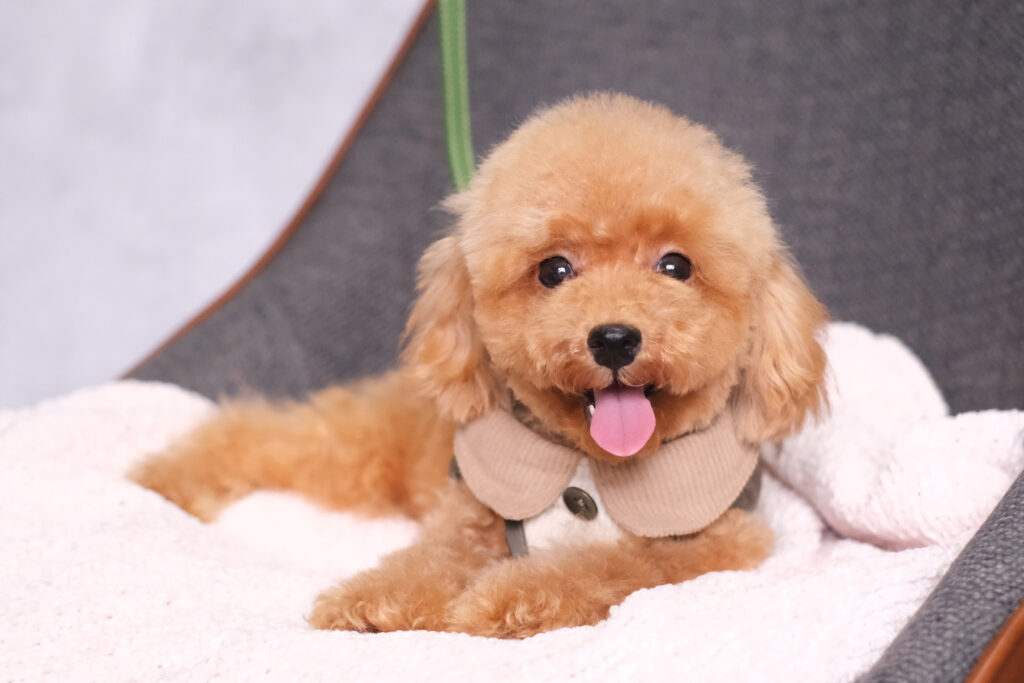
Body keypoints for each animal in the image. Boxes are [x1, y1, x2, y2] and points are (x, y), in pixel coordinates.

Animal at [131, 93, 827, 638]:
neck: (589, 466)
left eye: (676, 265)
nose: (613, 339)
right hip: (360, 446)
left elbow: (614, 564)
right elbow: (429, 559)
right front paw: (372, 598)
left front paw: (513, 596)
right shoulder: (469, 515)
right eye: (554, 270)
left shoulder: (716, 543)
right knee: (262, 433)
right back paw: (165, 478)